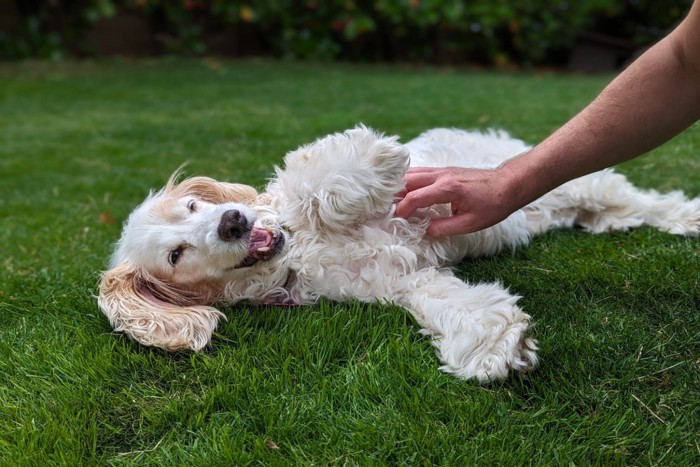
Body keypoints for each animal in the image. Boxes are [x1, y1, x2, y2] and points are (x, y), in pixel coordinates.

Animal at [100, 127, 700, 384]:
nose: (232, 222)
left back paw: (688, 216)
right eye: (176, 255)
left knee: (647, 201)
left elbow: (313, 181)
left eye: (193, 204)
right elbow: (453, 305)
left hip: (581, 182)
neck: (299, 256)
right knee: (627, 210)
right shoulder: (406, 281)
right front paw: (494, 345)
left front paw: (373, 160)